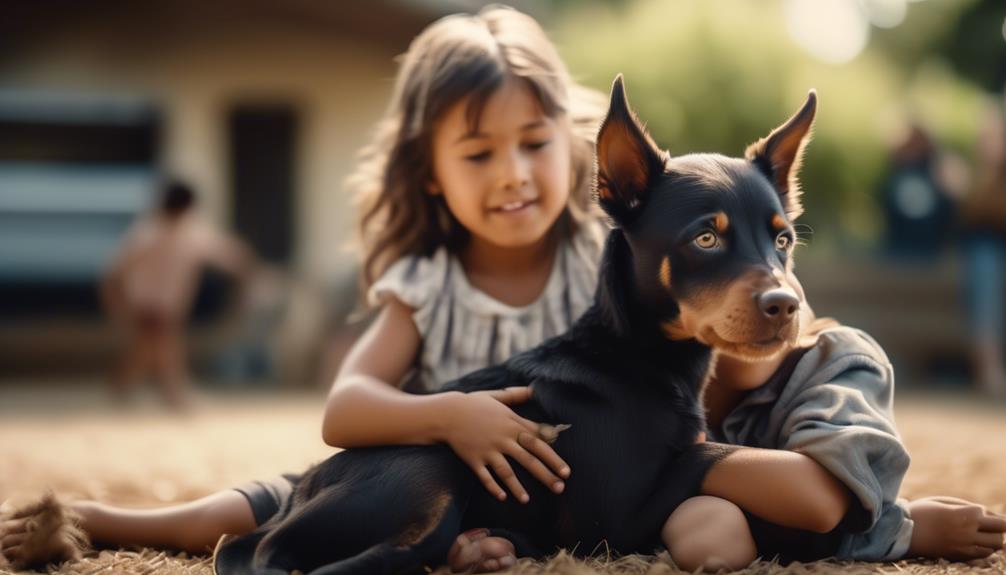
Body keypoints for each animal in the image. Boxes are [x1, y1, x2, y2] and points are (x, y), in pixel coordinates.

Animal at [214, 76, 816, 575]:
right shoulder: (610, 520)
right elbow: (710, 453)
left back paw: (485, 549)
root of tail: (303, 487)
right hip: (427, 470)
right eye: (705, 238)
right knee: (272, 553)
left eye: (783, 240)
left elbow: (709, 446)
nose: (786, 306)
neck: (637, 353)